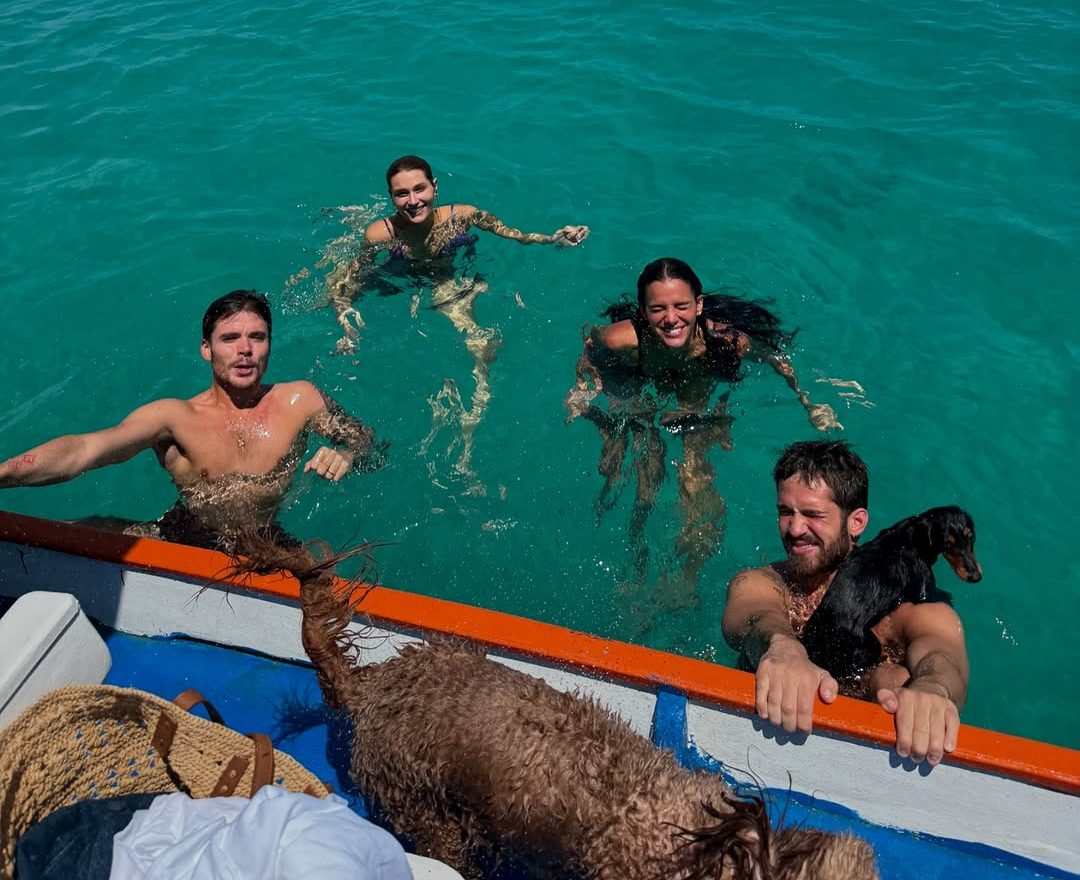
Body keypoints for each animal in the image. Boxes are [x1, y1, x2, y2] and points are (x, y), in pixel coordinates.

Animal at [799, 509, 984, 686]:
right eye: (947, 544)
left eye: (971, 537)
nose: (975, 577)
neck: (911, 534)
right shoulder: (923, 586)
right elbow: (932, 596)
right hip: (868, 646)